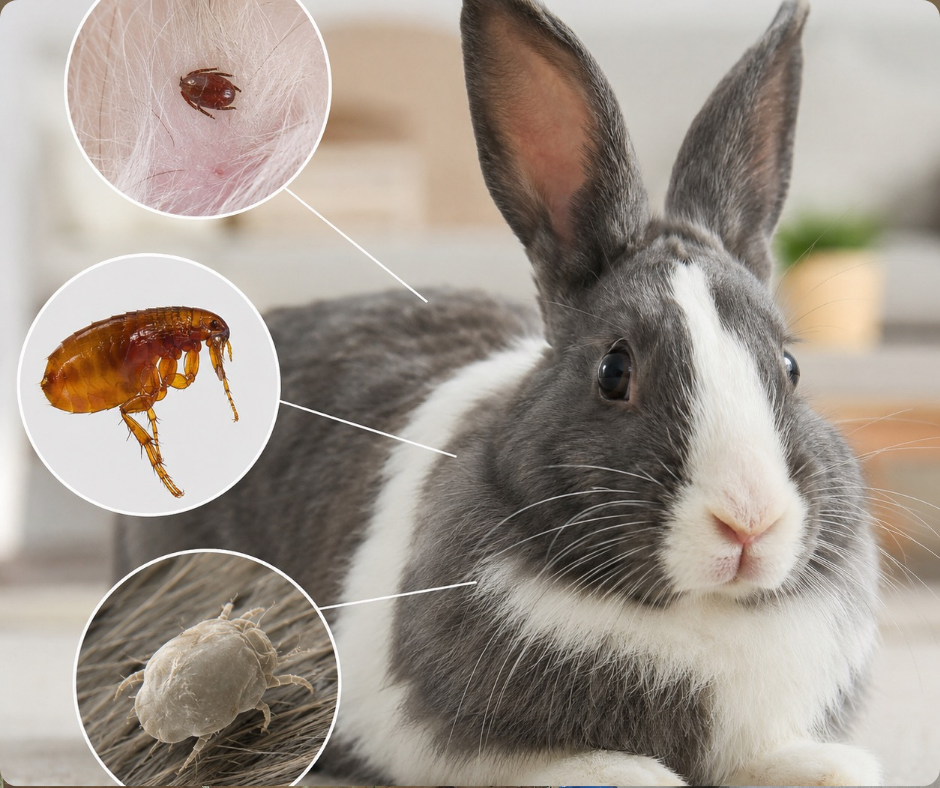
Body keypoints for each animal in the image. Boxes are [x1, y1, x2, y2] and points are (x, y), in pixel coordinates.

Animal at [116, 0, 884, 784]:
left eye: (789, 366)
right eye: (614, 371)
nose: (749, 524)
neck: (690, 612)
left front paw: (829, 769)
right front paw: (627, 774)